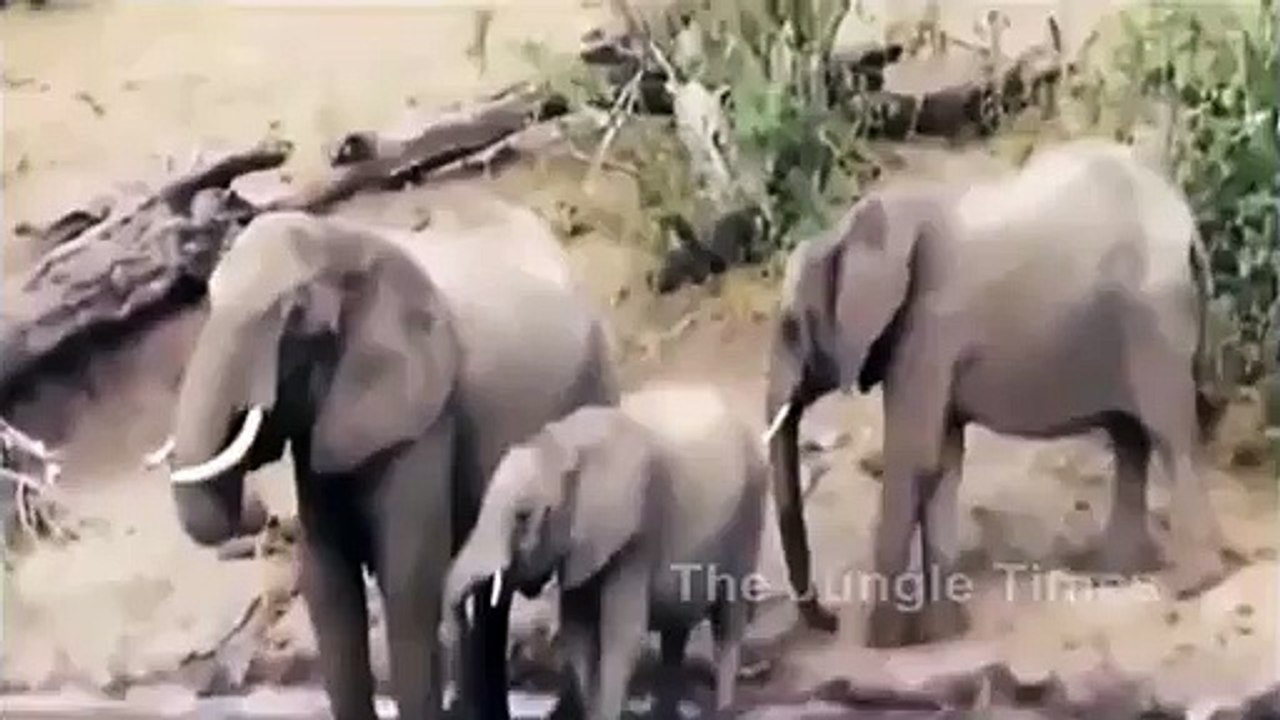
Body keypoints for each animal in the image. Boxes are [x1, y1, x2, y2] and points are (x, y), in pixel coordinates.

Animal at [147, 202, 618, 720]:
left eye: (295, 319)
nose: (259, 510)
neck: (341, 240)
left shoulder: (421, 422)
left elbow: (408, 581)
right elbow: (329, 584)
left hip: (596, 386)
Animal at [443, 381, 768, 719]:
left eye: (523, 516)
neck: (563, 445)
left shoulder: (636, 532)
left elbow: (621, 639)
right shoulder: (581, 546)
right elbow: (579, 636)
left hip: (750, 511)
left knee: (728, 623)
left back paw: (725, 708)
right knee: (675, 633)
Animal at [761, 138, 1232, 648]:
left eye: (790, 328)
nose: (829, 620)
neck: (844, 230)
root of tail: (1187, 225)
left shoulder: (929, 331)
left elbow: (912, 458)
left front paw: (880, 641)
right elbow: (943, 462)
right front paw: (944, 633)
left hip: (1153, 319)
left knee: (1168, 434)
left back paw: (1194, 584)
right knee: (1130, 439)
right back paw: (1114, 575)